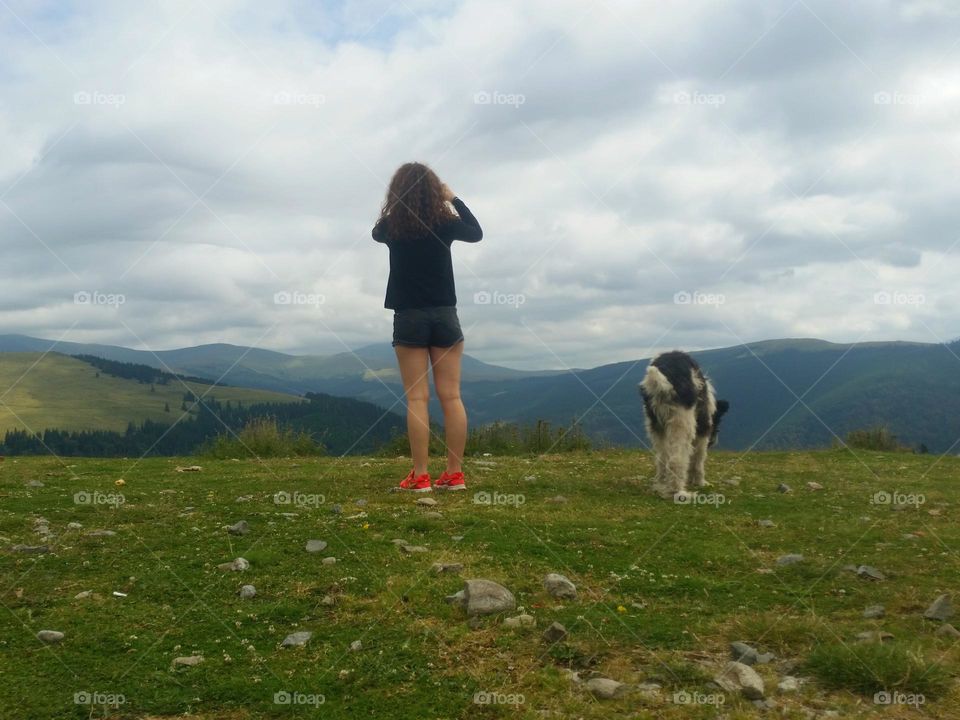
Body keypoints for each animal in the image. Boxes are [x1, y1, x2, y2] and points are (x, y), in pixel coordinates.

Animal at [640, 350, 732, 498]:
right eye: (716, 428)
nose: (713, 442)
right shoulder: (702, 430)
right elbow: (699, 459)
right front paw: (701, 482)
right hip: (682, 421)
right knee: (676, 460)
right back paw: (677, 491)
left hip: (655, 424)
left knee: (662, 459)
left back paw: (661, 486)